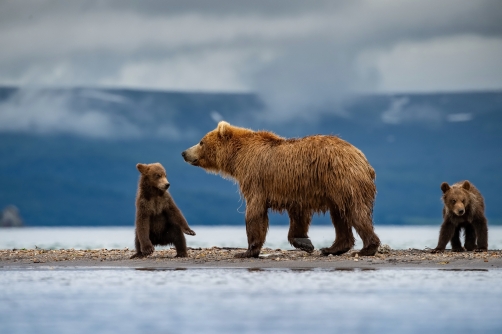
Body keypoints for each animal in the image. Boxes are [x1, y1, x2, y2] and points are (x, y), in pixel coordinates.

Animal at [182, 121, 378, 258]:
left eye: (201, 142)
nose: (184, 153)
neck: (237, 158)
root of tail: (362, 158)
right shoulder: (295, 189)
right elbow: (298, 214)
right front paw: (305, 243)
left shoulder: (255, 178)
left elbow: (255, 212)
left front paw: (247, 251)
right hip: (335, 188)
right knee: (339, 214)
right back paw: (332, 248)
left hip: (343, 179)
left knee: (356, 211)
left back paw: (366, 248)